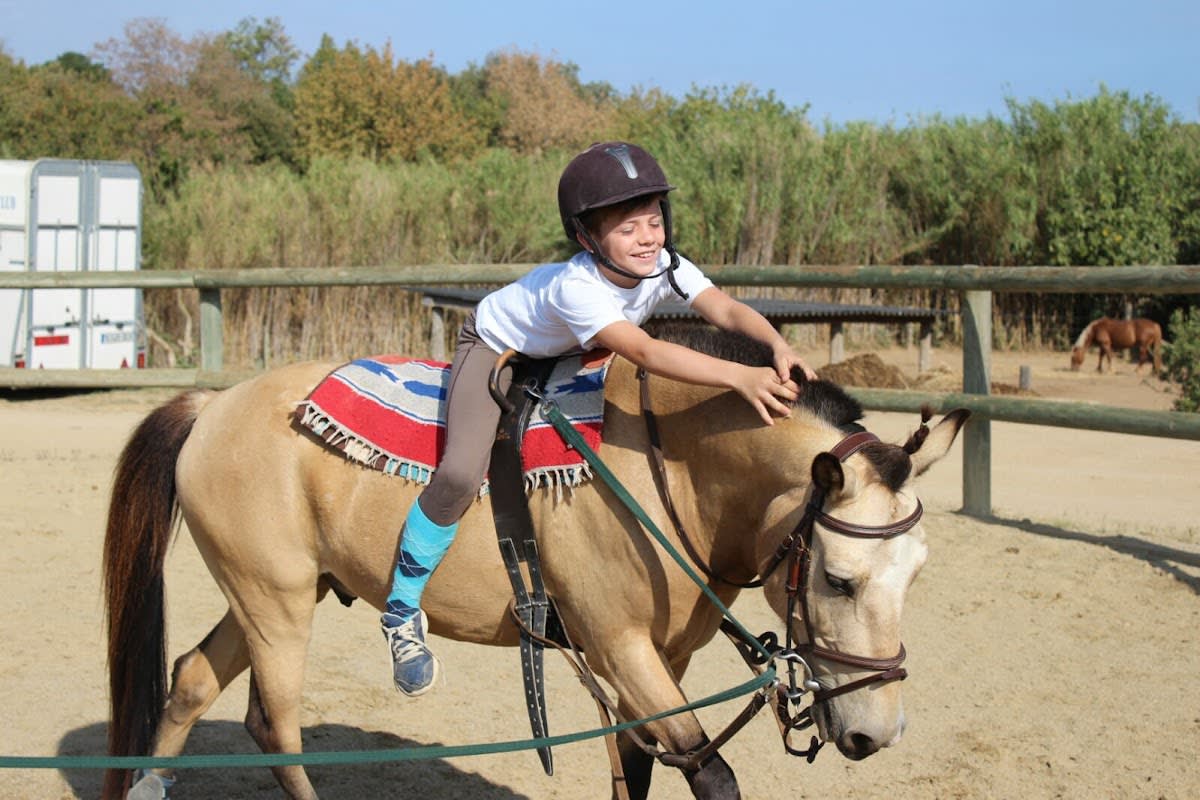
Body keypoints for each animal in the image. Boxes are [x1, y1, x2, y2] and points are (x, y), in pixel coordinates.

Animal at [102, 329, 969, 800]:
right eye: (837, 578)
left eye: (917, 576)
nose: (876, 732)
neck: (666, 467)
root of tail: (211, 406)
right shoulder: (619, 647)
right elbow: (709, 773)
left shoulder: (661, 662)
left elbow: (638, 770)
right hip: (275, 603)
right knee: (275, 723)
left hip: (271, 592)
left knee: (191, 681)